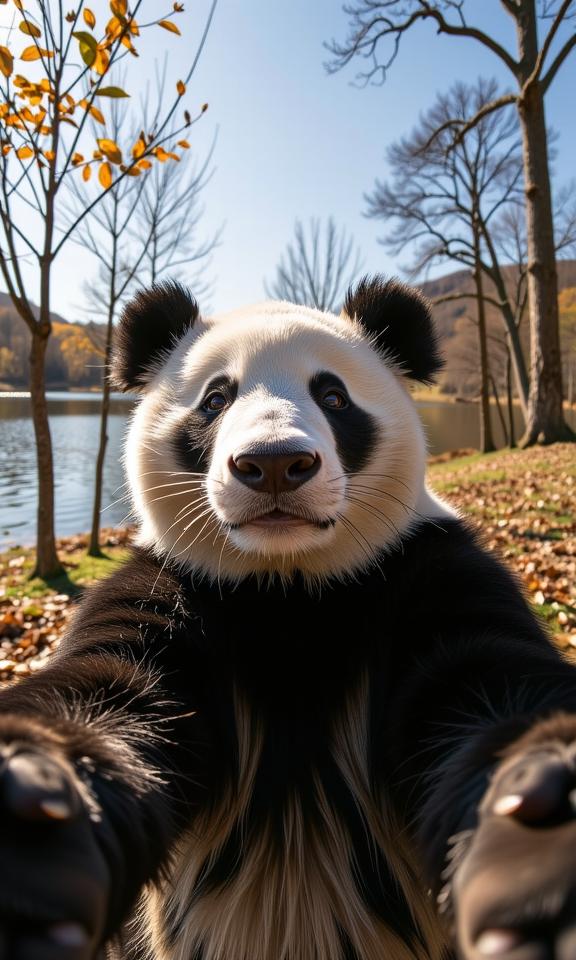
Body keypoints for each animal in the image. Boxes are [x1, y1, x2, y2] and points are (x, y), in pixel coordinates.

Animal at [1, 276, 576, 960]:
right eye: (216, 398)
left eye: (332, 395)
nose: (274, 463)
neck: (288, 591)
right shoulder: (175, 592)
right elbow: (110, 695)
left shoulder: (422, 576)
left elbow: (484, 686)